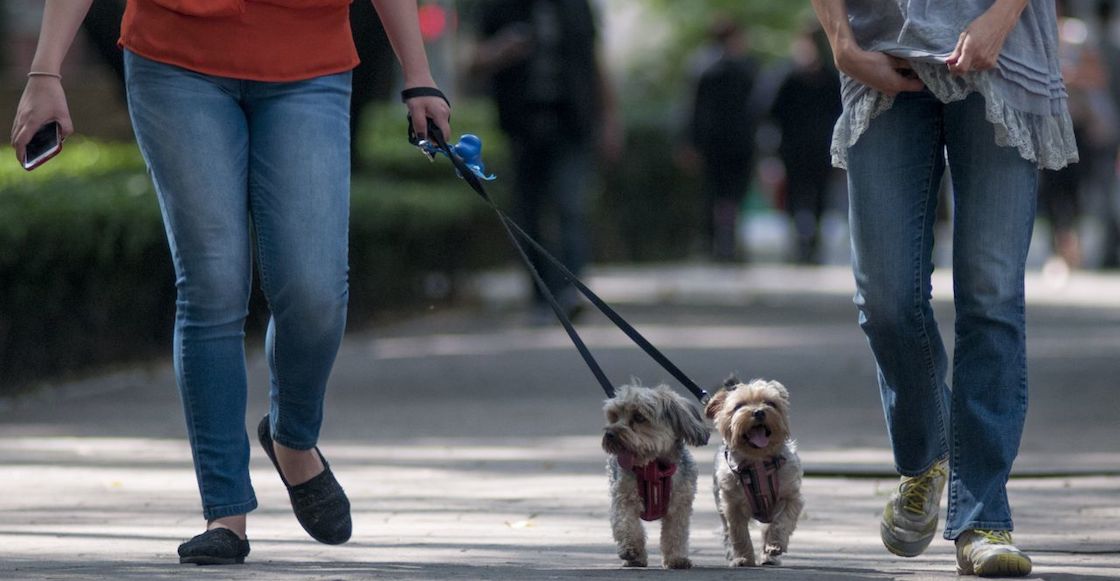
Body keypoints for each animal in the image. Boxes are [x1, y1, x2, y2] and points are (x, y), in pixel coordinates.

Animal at [604, 385, 707, 570]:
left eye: (639, 417)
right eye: (614, 416)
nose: (609, 434)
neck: (653, 467)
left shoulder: (679, 505)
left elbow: (676, 533)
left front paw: (676, 559)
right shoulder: (624, 498)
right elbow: (627, 524)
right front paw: (631, 548)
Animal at [703, 378, 801, 568]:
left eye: (770, 403)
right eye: (739, 406)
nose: (759, 412)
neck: (758, 463)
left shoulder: (791, 497)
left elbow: (782, 521)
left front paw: (775, 545)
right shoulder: (731, 504)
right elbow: (738, 532)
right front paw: (743, 558)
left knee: (767, 528)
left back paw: (769, 556)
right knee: (727, 533)